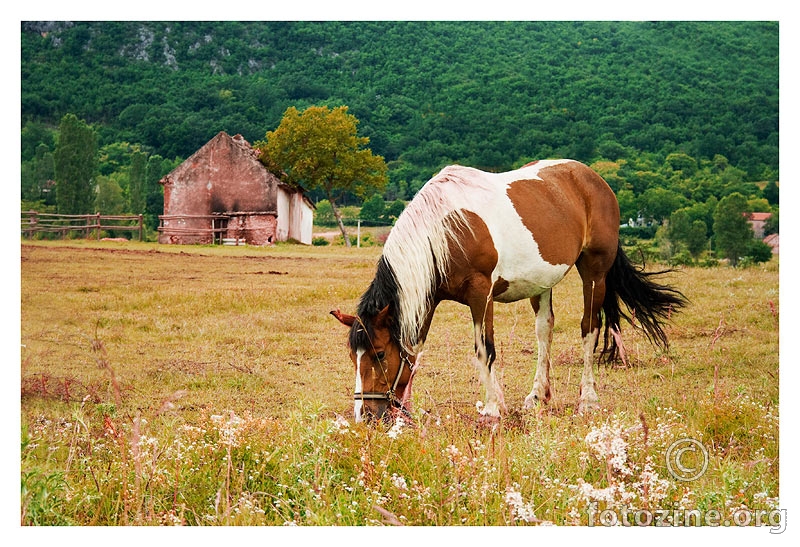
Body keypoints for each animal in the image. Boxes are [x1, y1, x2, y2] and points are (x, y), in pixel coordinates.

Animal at [332, 158, 688, 424]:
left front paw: (492, 408)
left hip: (594, 272)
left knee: (590, 328)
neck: (446, 229)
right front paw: (405, 409)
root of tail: (592, 178)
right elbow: (414, 350)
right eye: (352, 355)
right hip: (543, 283)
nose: (365, 415)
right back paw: (538, 395)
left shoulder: (481, 295)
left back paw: (587, 399)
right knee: (545, 331)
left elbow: (484, 349)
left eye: (378, 354)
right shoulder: (427, 299)